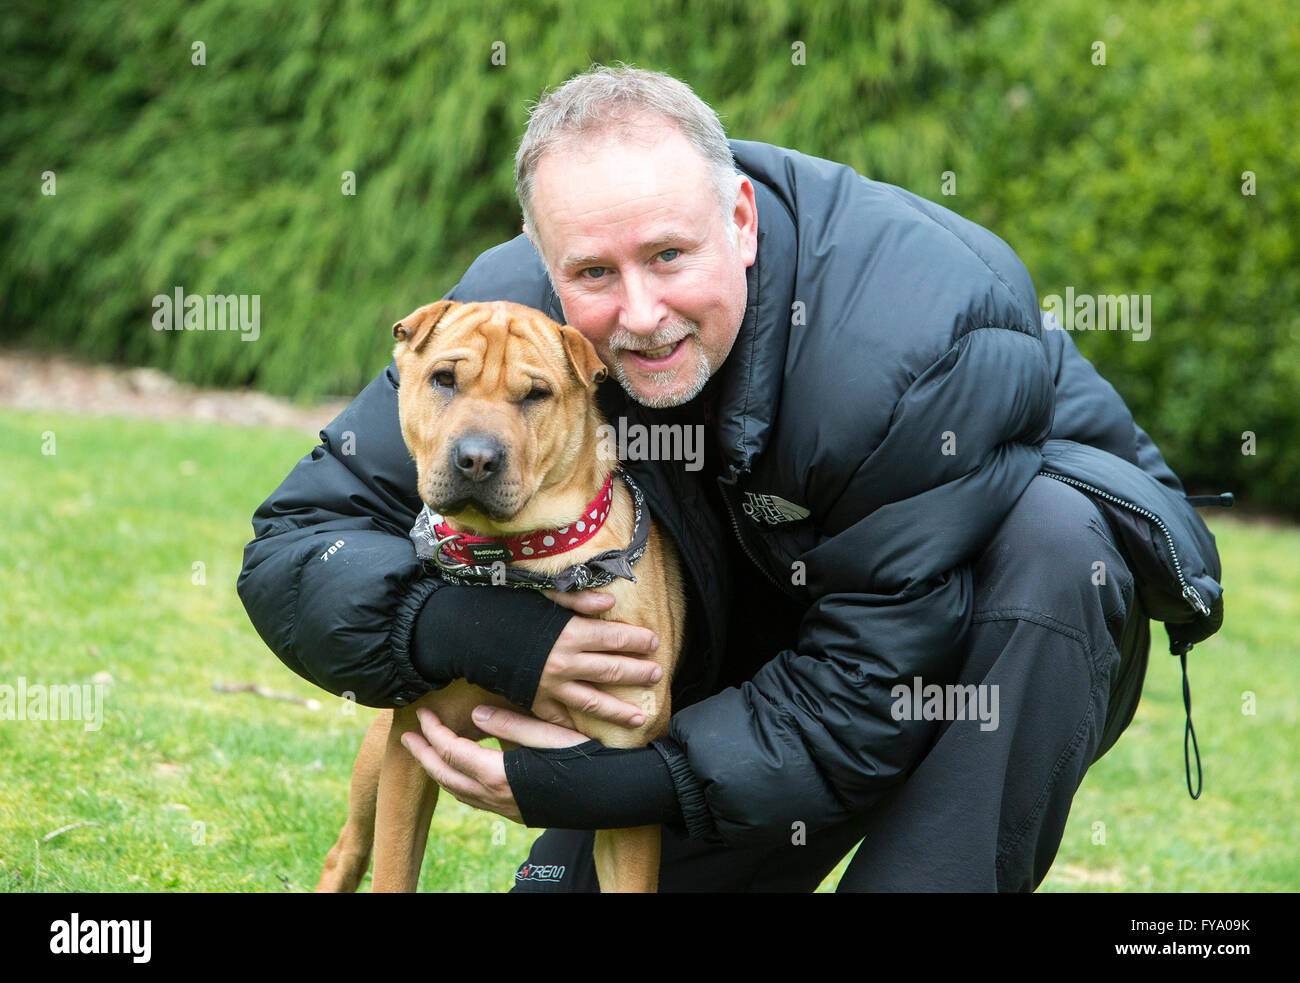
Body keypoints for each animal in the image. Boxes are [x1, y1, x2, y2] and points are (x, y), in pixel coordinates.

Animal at [313, 297, 686, 889]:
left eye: (536, 395)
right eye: (444, 379)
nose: (477, 459)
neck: (519, 564)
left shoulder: (625, 788)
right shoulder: (409, 749)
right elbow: (394, 869)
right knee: (347, 851)